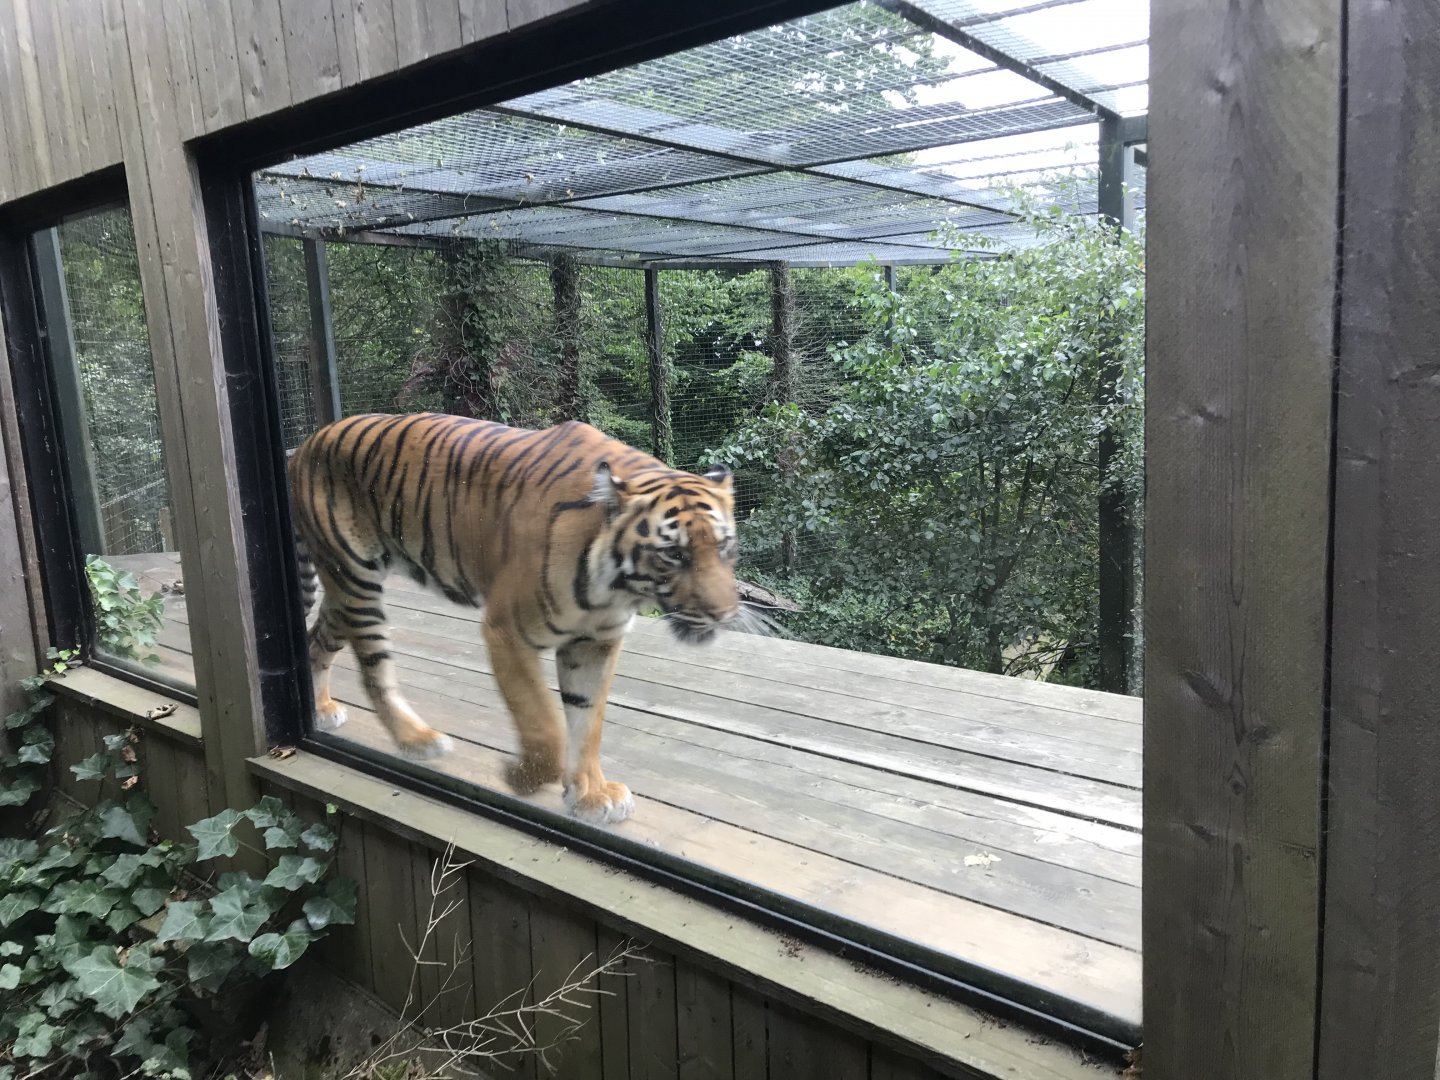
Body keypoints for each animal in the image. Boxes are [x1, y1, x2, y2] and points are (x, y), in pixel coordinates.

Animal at [287, 412, 740, 825]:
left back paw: (320, 709)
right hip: (357, 581)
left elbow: (587, 723)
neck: (616, 589)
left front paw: (591, 795)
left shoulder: (594, 643)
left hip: (343, 591)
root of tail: (308, 443)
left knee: (316, 640)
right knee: (374, 672)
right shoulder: (507, 632)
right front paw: (519, 778)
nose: (725, 614)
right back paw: (418, 740)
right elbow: (545, 726)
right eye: (674, 554)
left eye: (724, 547)